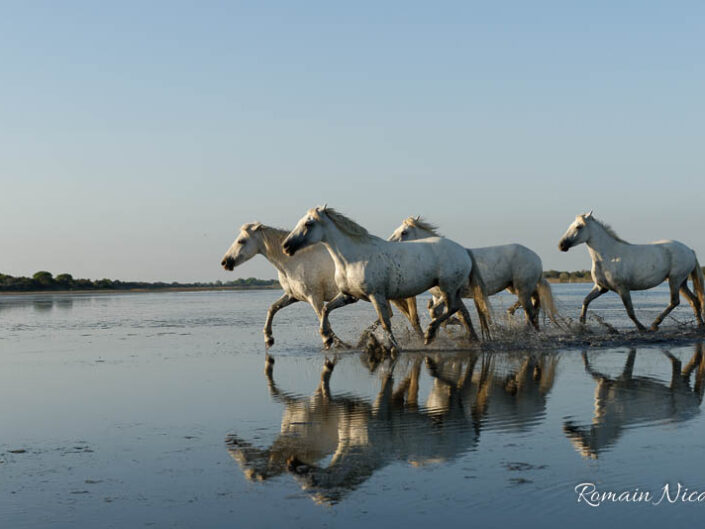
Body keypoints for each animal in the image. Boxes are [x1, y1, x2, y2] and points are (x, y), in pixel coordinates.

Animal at [280, 206, 478, 350]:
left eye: (309, 223)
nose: (286, 246)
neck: (352, 259)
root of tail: (464, 251)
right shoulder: (348, 296)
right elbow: (326, 309)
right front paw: (326, 338)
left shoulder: (376, 295)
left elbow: (385, 322)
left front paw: (394, 348)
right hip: (449, 290)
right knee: (455, 311)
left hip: (448, 287)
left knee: (452, 309)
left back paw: (430, 334)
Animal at [388, 217, 560, 328]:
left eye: (403, 232)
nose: (388, 245)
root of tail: (536, 258)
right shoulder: (438, 295)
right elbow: (436, 312)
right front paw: (451, 323)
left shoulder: (449, 292)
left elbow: (438, 311)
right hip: (516, 287)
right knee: (534, 304)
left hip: (522, 287)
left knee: (531, 310)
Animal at [556, 211, 704, 330]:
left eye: (578, 226)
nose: (561, 245)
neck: (608, 256)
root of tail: (689, 250)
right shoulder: (601, 287)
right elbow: (585, 301)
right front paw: (582, 324)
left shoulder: (622, 288)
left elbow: (630, 311)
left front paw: (641, 328)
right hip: (681, 282)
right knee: (694, 301)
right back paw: (699, 324)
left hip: (675, 279)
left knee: (675, 301)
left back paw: (654, 324)